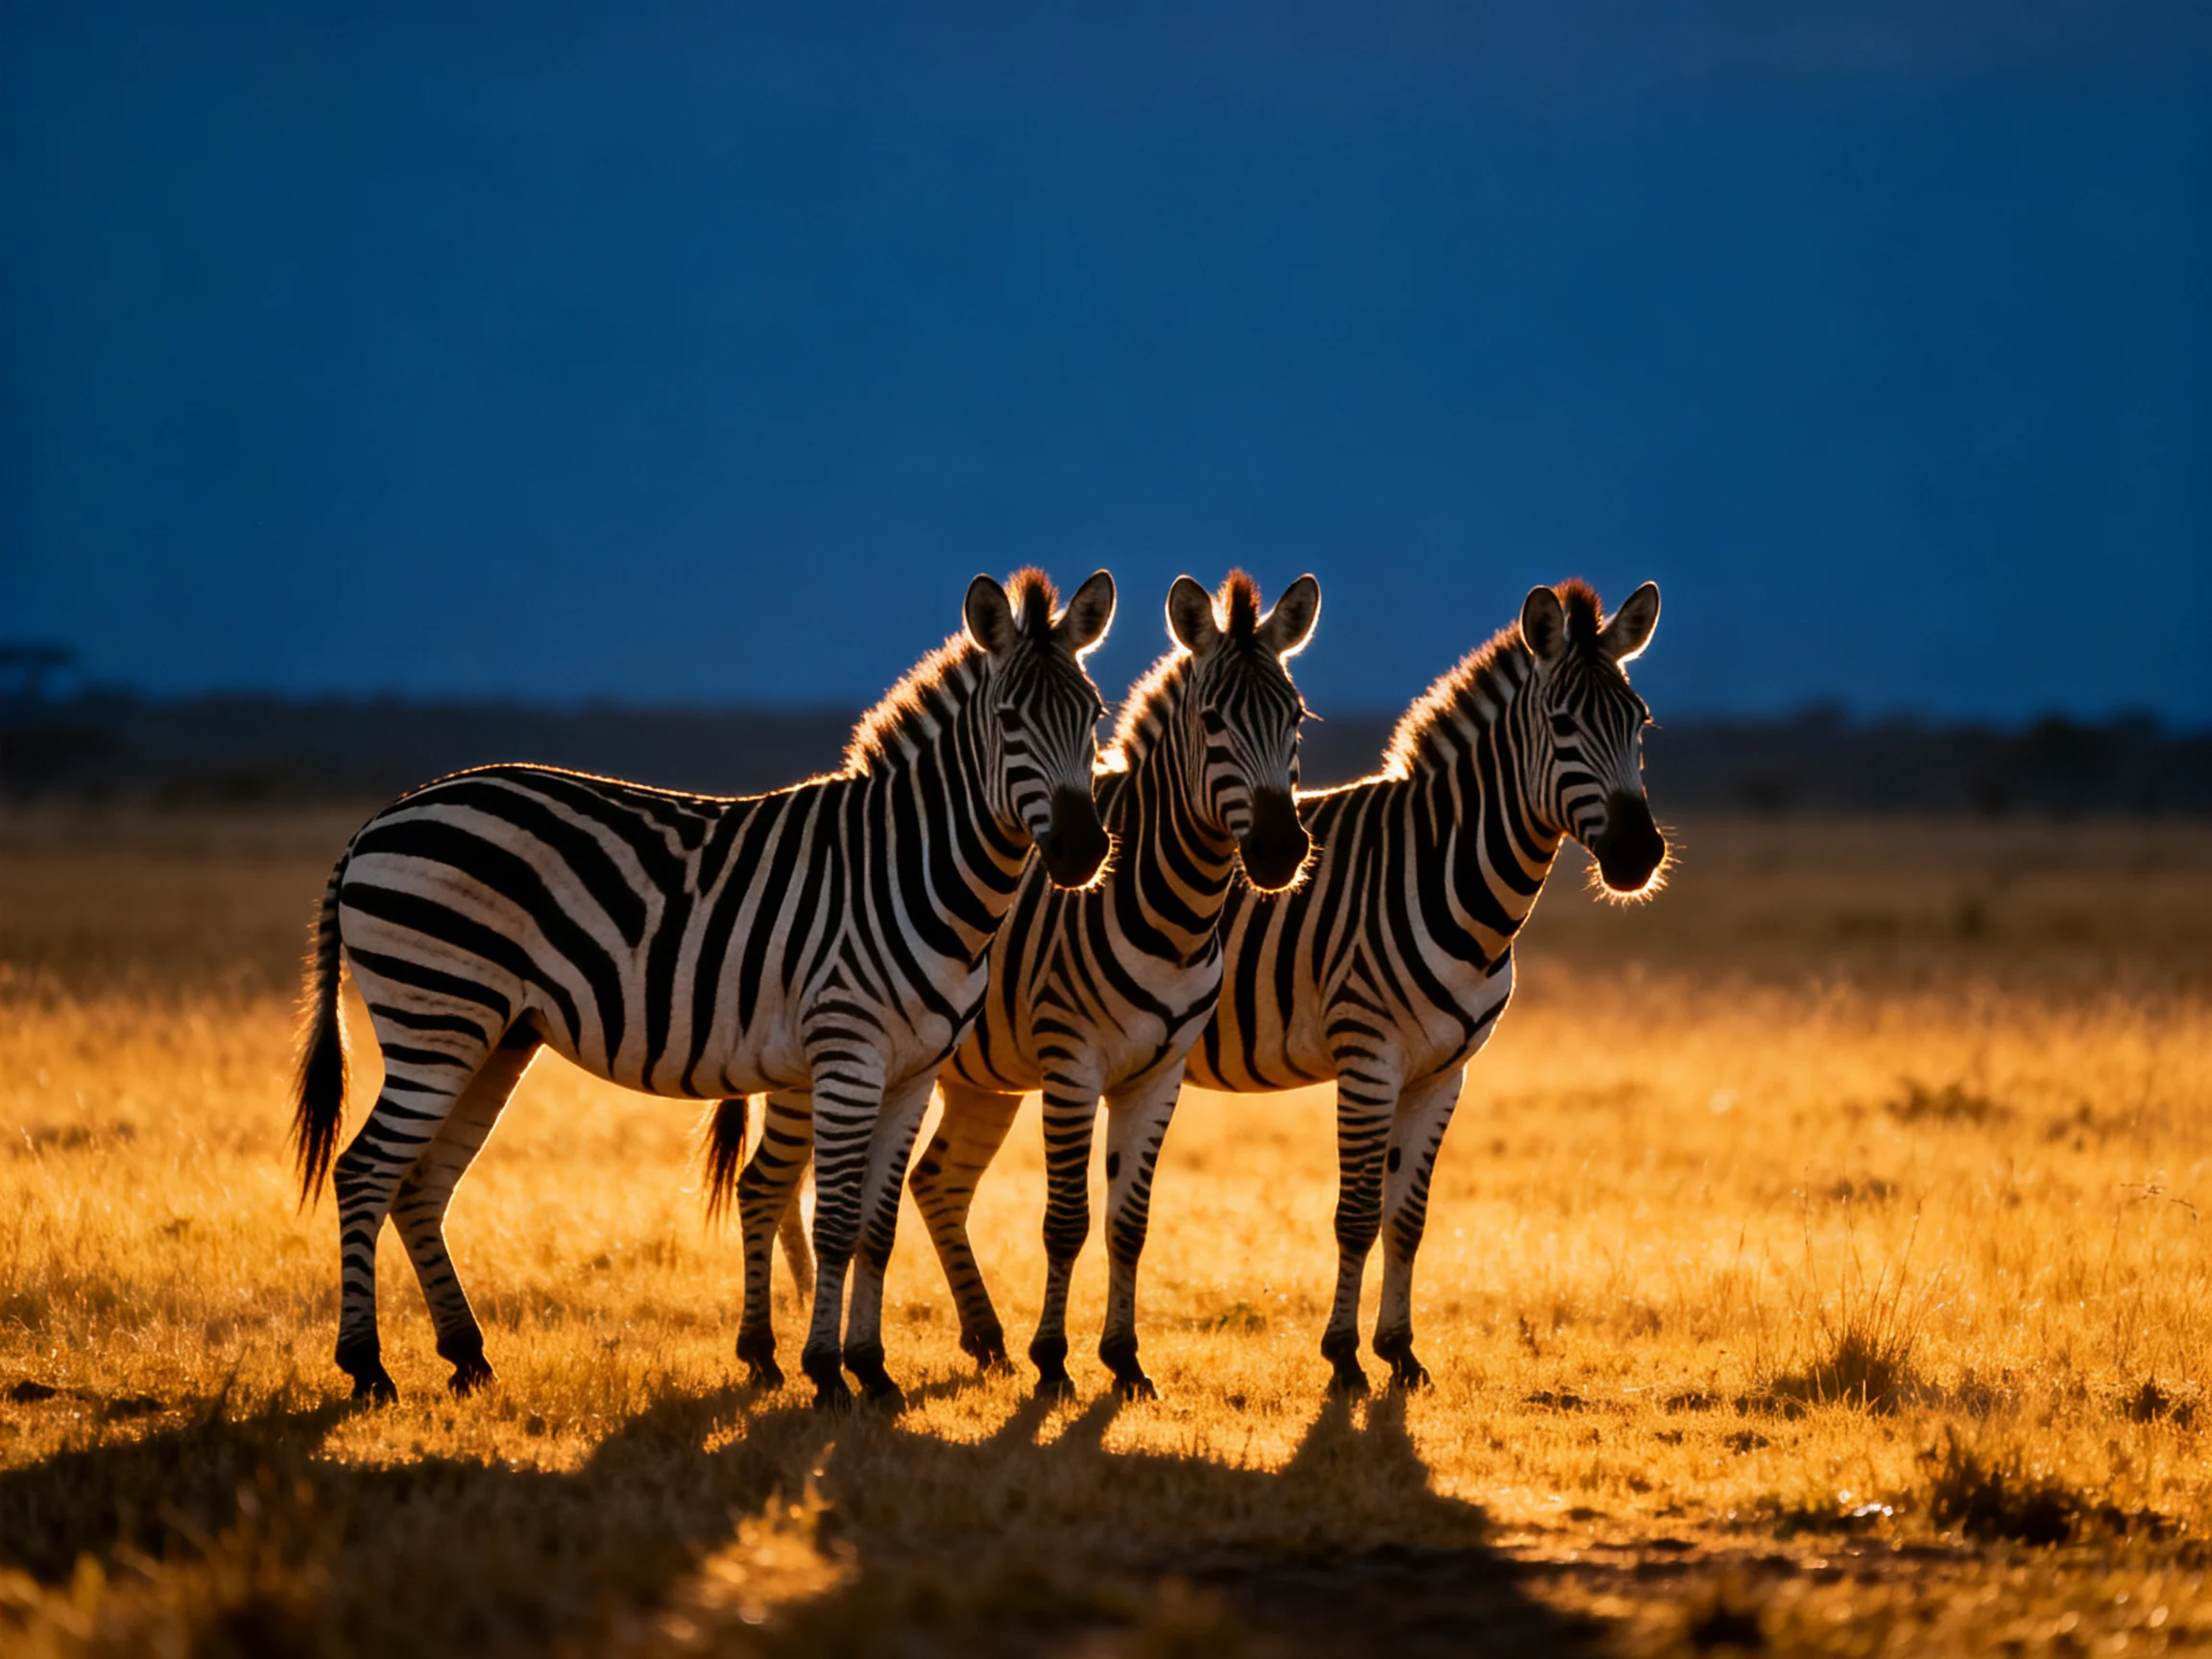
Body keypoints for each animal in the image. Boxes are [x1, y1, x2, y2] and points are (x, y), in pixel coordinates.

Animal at [289, 568, 1117, 1409]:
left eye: (1094, 715)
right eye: (1009, 721)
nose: (1082, 851)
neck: (914, 869)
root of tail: (383, 818)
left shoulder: (914, 1072)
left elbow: (877, 1230)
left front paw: (872, 1370)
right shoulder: (848, 1054)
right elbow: (836, 1221)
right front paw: (828, 1373)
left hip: (495, 1035)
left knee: (421, 1183)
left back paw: (467, 1357)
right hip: (436, 1019)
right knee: (364, 1171)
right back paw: (368, 1367)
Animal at [707, 571, 1321, 1403]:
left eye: (1295, 719)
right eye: (1213, 719)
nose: (1282, 850)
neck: (1166, 902)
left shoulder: (1158, 1073)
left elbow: (1131, 1224)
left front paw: (1126, 1362)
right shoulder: (1071, 1063)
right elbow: (1066, 1220)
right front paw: (1055, 1362)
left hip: (970, 1080)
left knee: (930, 1183)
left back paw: (979, 1338)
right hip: (816, 1067)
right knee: (766, 1186)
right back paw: (765, 1352)